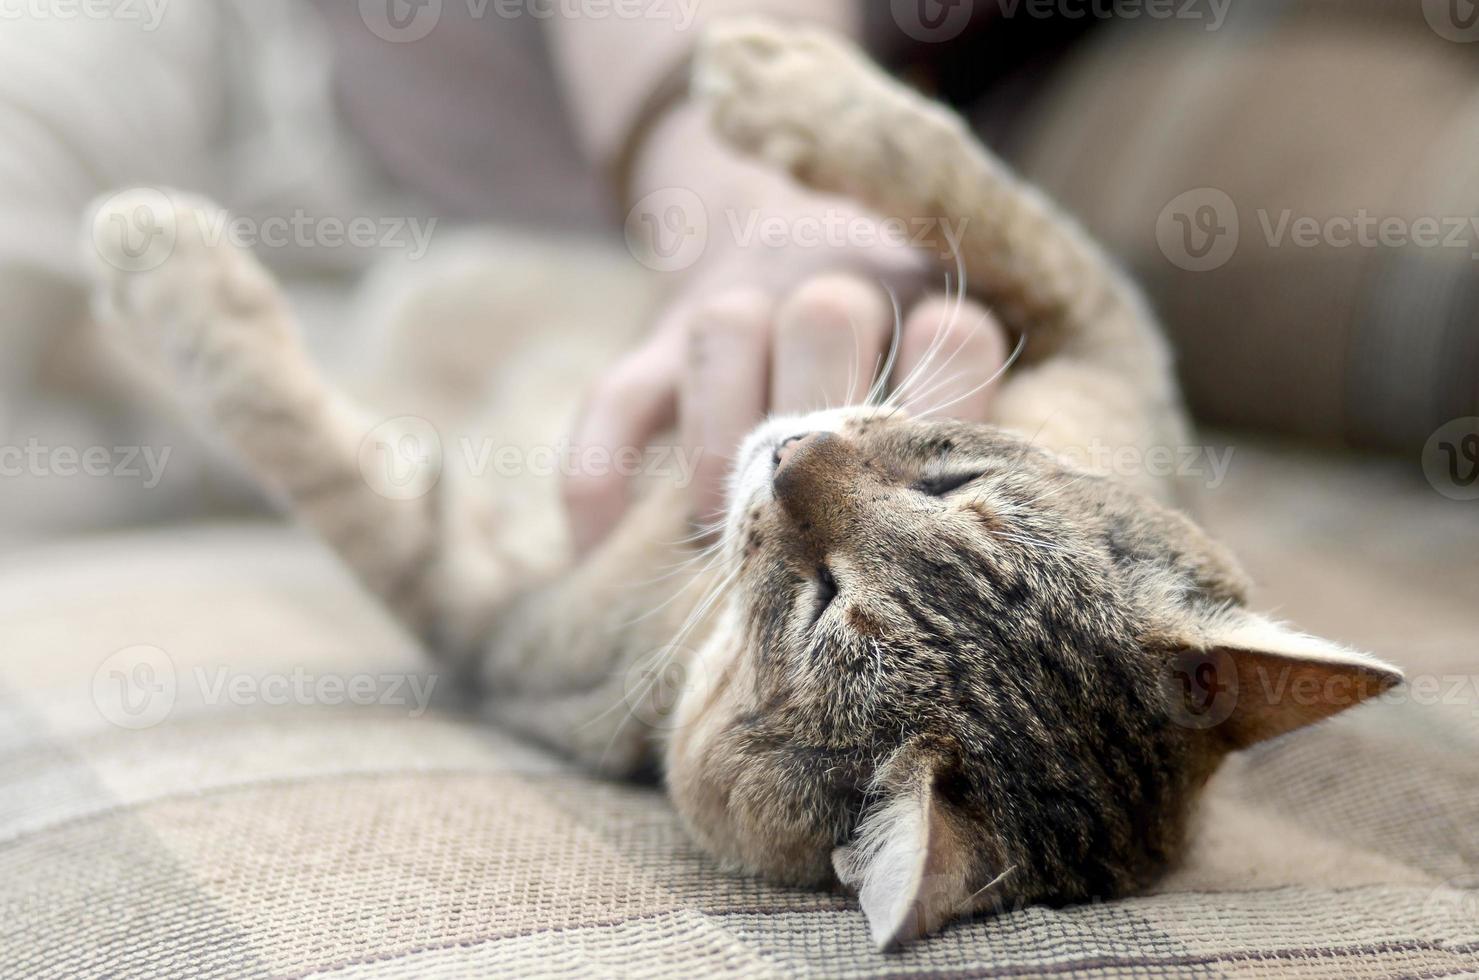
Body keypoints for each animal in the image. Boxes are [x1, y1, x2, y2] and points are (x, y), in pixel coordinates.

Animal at [80, 17, 1396, 951]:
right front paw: (785, 76)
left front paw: (160, 257)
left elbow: (303, 444)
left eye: (819, 605)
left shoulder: (490, 615)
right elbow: (972, 183)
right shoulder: (1110, 340)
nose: (786, 452)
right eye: (953, 477)